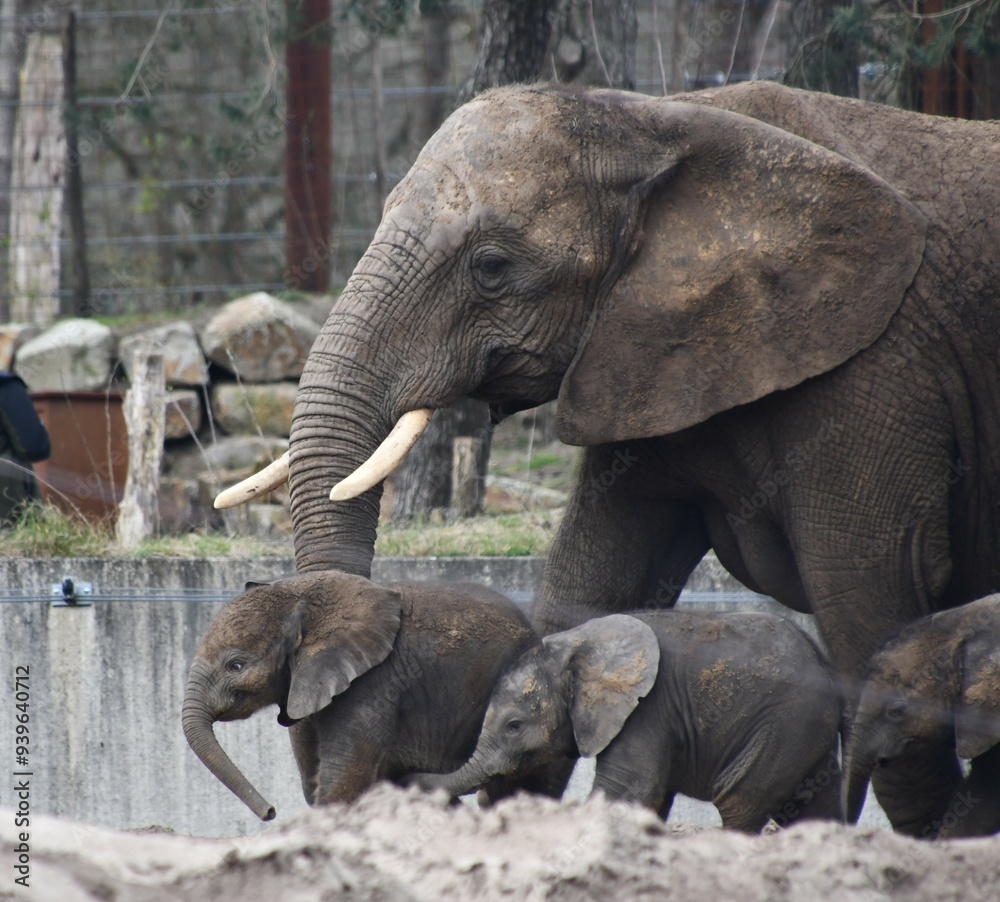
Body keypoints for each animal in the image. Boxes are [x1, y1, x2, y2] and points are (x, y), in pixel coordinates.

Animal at [410, 611, 845, 832]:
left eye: (514, 726)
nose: (409, 777)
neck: (575, 645)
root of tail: (826, 664)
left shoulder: (647, 709)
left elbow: (630, 789)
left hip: (784, 723)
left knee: (739, 801)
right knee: (812, 806)